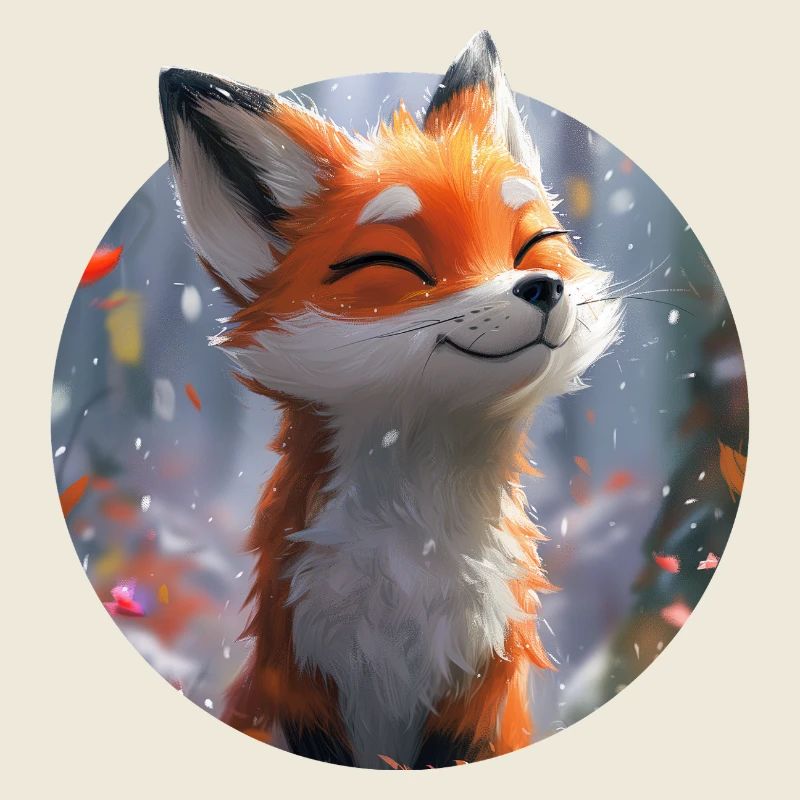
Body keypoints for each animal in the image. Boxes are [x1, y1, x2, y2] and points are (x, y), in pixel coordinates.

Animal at [159, 30, 620, 769]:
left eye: (533, 246)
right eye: (398, 266)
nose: (543, 287)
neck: (416, 554)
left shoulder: (480, 690)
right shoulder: (302, 677)